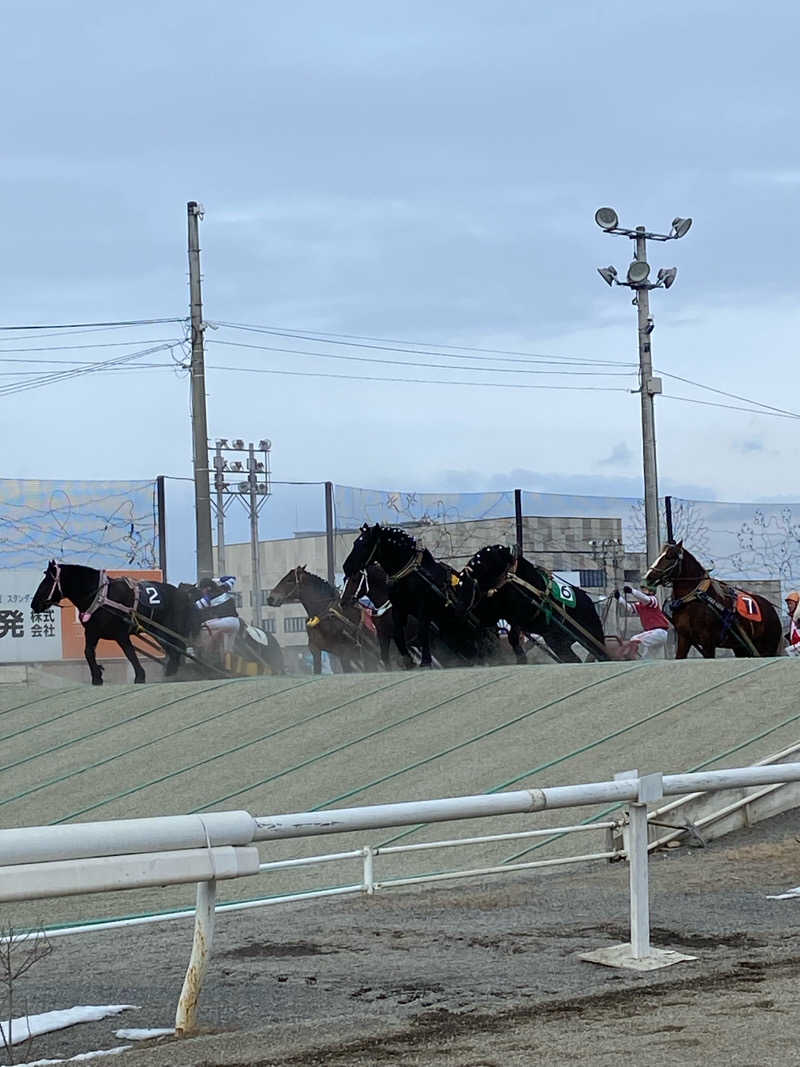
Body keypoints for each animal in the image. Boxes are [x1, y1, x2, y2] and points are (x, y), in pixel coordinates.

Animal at [30, 559, 196, 682]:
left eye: (46, 582)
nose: (34, 604)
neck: (101, 597)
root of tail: (184, 595)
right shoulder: (92, 631)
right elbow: (88, 652)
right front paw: (97, 676)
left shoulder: (121, 633)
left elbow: (130, 652)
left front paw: (140, 676)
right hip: (157, 631)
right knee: (173, 650)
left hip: (171, 629)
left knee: (178, 647)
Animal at [343, 524, 494, 665]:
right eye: (355, 543)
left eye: (364, 544)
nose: (346, 567)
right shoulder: (394, 619)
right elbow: (398, 635)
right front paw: (408, 661)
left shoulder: (423, 610)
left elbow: (421, 632)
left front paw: (424, 661)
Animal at [460, 546, 610, 661]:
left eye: (483, 561)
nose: (463, 575)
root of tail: (591, 602)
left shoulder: (522, 615)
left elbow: (512, 635)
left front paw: (521, 657)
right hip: (557, 641)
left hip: (593, 637)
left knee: (601, 654)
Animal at [644, 542, 785, 657]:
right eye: (660, 555)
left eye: (670, 556)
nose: (648, 577)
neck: (694, 600)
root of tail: (771, 609)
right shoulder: (684, 639)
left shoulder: (708, 642)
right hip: (741, 648)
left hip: (768, 648)